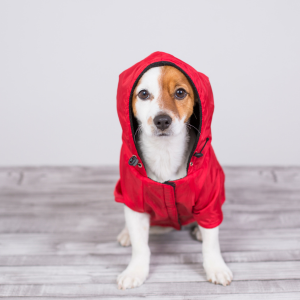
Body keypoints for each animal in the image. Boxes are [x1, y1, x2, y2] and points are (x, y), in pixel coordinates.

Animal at [113, 52, 233, 290]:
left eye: (180, 92)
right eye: (143, 94)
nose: (162, 120)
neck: (165, 152)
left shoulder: (210, 199)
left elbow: (211, 242)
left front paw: (215, 267)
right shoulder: (135, 200)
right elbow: (141, 246)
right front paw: (135, 270)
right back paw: (126, 233)